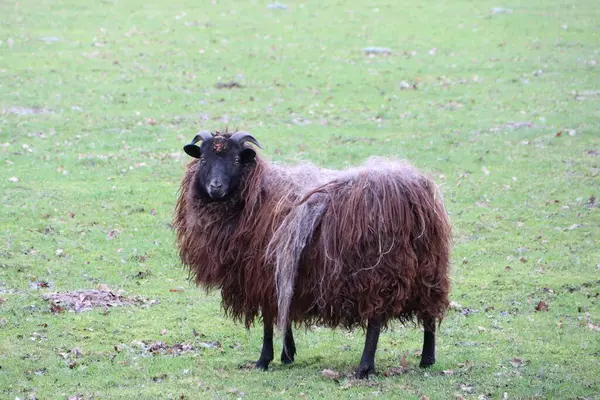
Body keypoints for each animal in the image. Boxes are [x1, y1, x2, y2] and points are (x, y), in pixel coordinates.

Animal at [173, 131, 450, 378]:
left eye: (236, 160)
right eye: (204, 158)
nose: (215, 187)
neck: (257, 195)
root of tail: (410, 193)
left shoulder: (262, 274)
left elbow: (268, 321)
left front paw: (264, 359)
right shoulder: (282, 272)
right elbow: (283, 312)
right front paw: (287, 354)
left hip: (377, 270)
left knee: (375, 321)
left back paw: (364, 368)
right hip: (428, 265)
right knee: (429, 315)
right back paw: (427, 359)